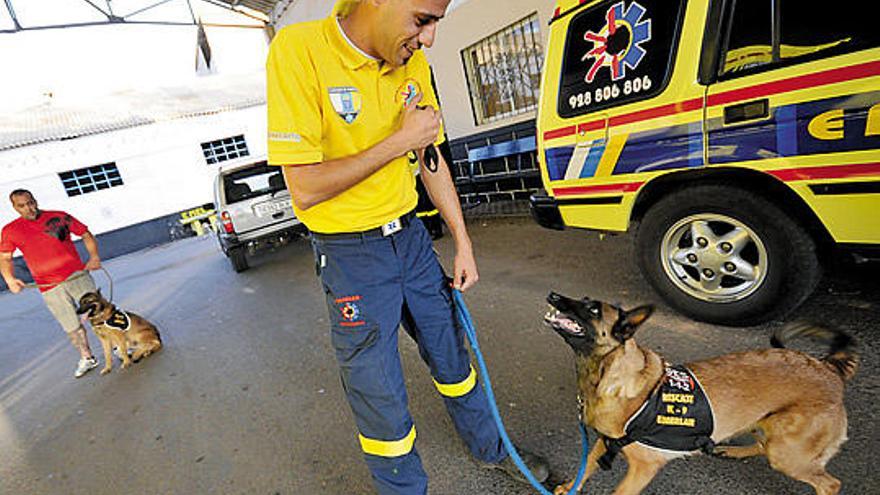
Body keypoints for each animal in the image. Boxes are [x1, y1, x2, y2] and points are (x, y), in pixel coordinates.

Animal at [544, 292, 860, 494]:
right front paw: (569, 488)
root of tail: (828, 368)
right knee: (762, 443)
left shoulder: (642, 470)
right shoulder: (604, 442)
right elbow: (585, 468)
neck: (607, 375)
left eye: (593, 310)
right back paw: (731, 449)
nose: (553, 296)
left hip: (787, 452)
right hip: (772, 431)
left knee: (829, 484)